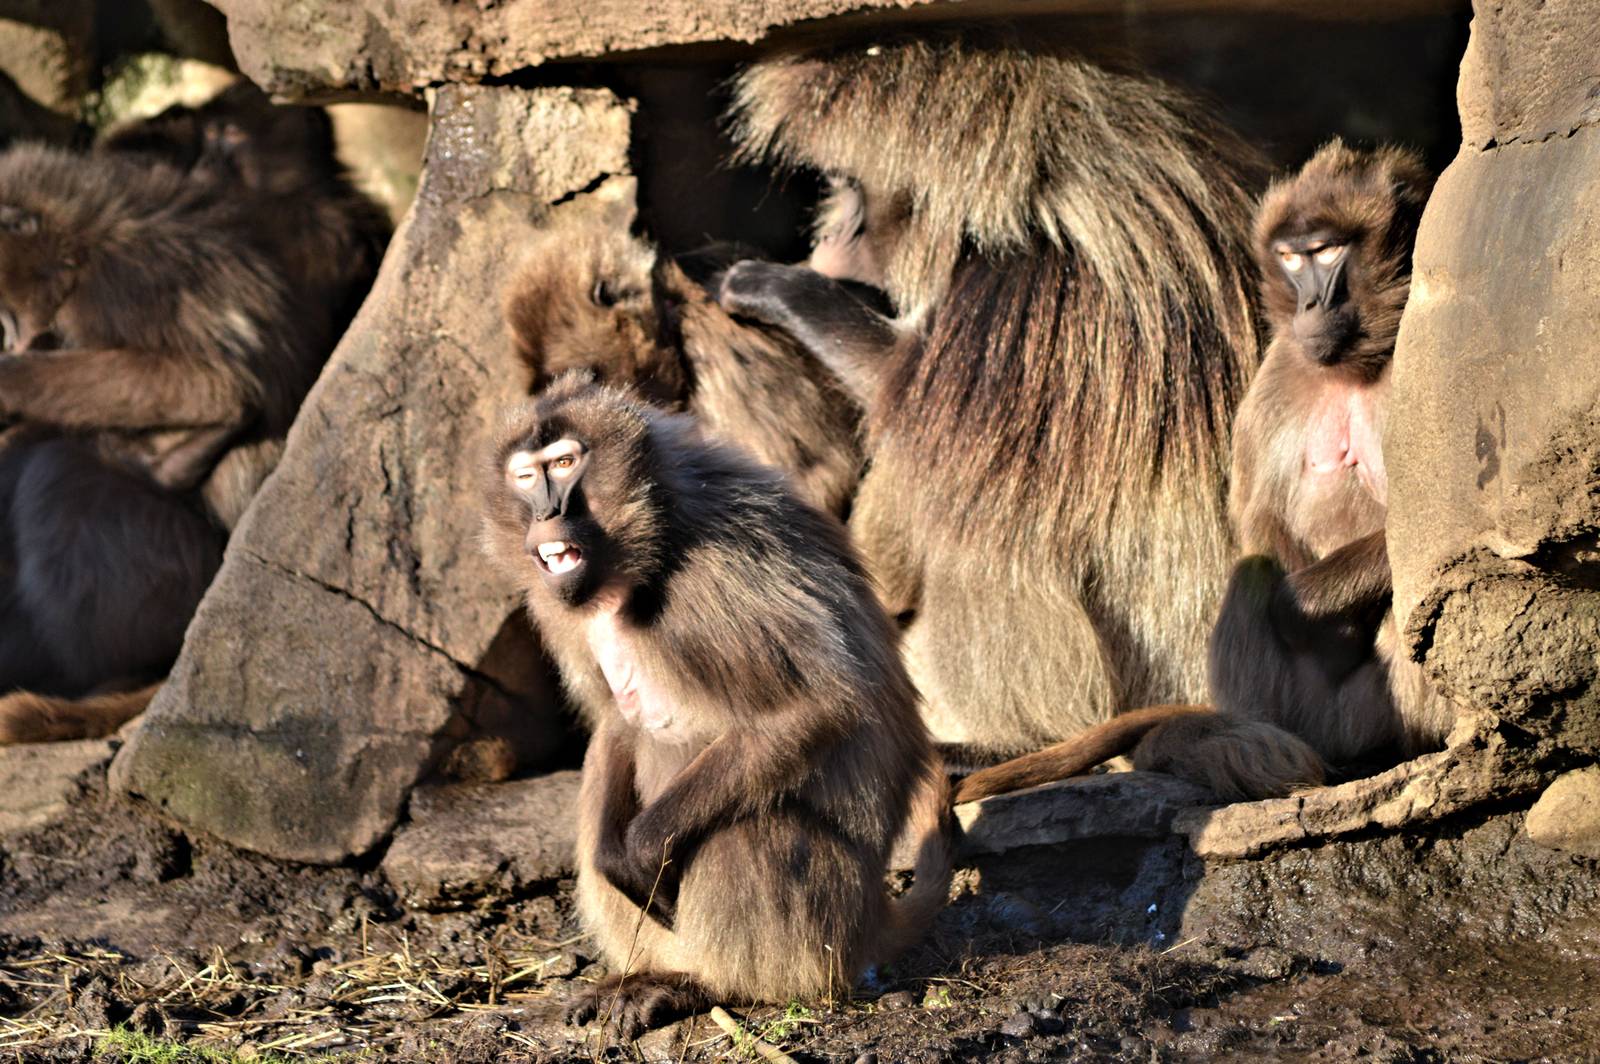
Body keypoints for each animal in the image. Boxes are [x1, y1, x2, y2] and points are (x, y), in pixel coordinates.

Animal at [481, 375, 952, 1039]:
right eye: (526, 476)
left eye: (566, 465)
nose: (547, 512)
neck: (642, 549)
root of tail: (870, 922)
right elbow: (616, 725)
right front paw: (615, 859)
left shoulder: (719, 573)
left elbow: (819, 706)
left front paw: (644, 852)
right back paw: (649, 973)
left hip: (829, 924)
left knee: (748, 830)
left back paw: (708, 985)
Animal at [717, 34, 1265, 762]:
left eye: (853, 192)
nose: (829, 239)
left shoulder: (1018, 303)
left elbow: (902, 403)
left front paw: (781, 291)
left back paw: (1010, 743)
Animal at [953, 141, 1456, 805]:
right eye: (1291, 258)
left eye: (1326, 252)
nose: (1311, 305)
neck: (1352, 368)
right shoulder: (1279, 371)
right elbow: (1258, 519)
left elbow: (1435, 529)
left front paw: (1305, 604)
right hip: (1305, 707)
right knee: (1254, 574)